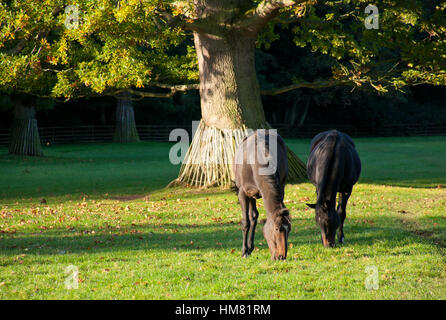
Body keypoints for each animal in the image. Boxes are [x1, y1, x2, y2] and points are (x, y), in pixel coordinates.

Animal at [232, 130, 290, 260]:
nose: (281, 256)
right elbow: (245, 222)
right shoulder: (243, 192)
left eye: (289, 229)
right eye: (277, 229)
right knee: (252, 216)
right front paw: (244, 251)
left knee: (254, 216)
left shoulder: (281, 186)